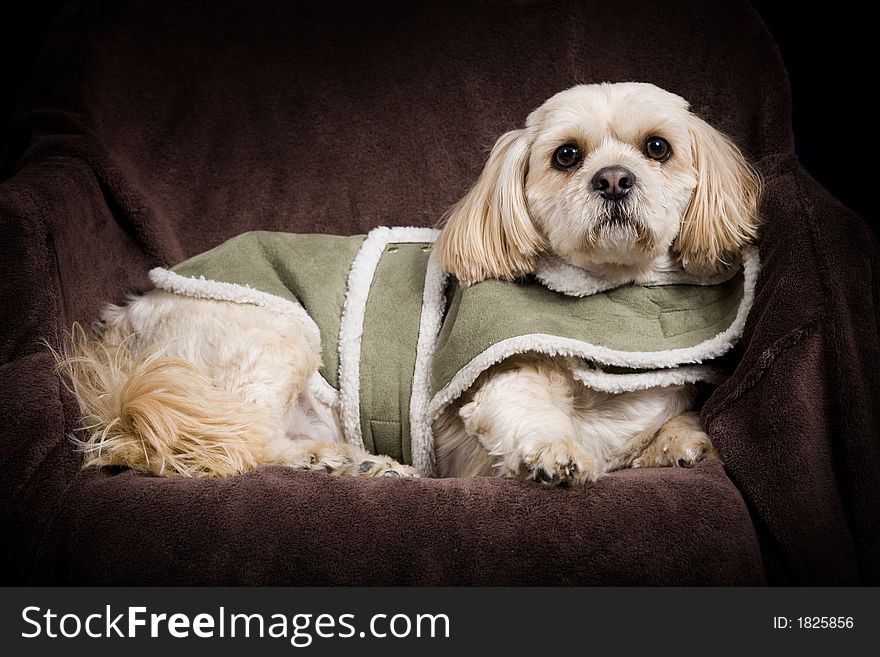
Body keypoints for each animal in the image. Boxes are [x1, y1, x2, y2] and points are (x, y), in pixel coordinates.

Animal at [55, 80, 760, 482]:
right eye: (567, 156)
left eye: (658, 147)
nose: (613, 179)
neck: (609, 295)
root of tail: (122, 340)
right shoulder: (490, 394)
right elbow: (527, 412)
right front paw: (554, 454)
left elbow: (670, 421)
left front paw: (680, 443)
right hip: (272, 332)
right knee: (225, 441)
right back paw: (328, 460)